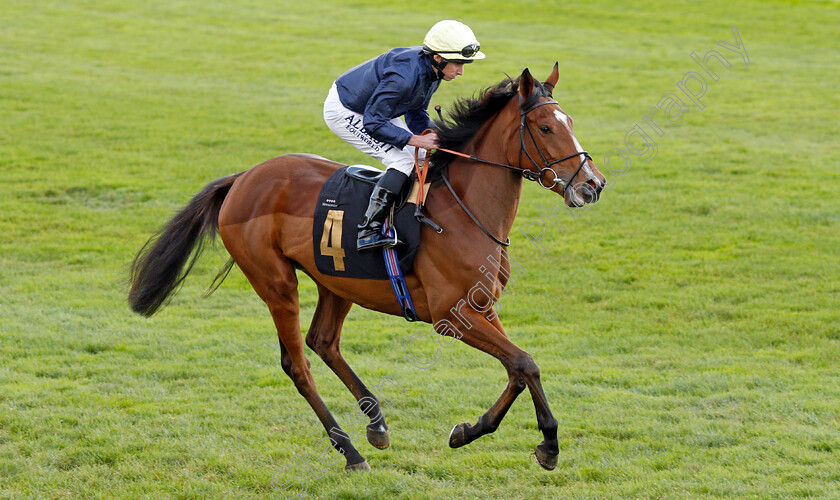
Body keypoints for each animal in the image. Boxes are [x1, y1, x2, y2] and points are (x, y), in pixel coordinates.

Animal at [128, 64, 608, 470]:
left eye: (569, 122)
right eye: (545, 127)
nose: (593, 185)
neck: (463, 209)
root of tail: (243, 178)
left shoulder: (481, 307)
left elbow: (518, 369)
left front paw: (470, 431)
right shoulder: (452, 316)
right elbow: (526, 363)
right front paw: (548, 443)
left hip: (336, 281)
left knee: (323, 342)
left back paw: (375, 423)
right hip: (276, 282)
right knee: (298, 364)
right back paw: (350, 449)